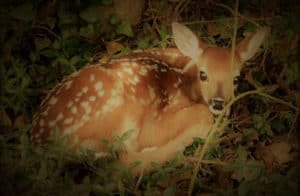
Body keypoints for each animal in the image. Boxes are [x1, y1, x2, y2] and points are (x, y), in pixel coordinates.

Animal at [29, 22, 264, 173]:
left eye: (236, 78)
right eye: (203, 74)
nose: (218, 102)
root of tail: (40, 140)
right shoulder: (154, 123)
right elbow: (201, 114)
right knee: (123, 161)